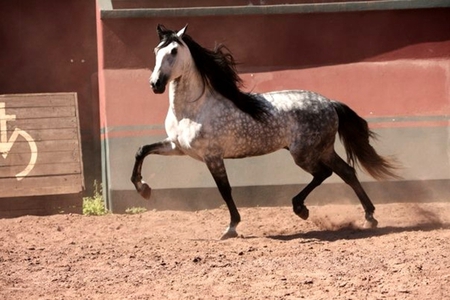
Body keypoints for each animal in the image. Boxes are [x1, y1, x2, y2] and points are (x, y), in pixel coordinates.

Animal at [130, 24, 398, 239]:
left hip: (304, 154)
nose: (155, 84)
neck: (192, 110)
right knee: (347, 172)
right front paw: (143, 189)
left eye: (174, 51)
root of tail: (330, 103)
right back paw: (369, 217)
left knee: (324, 174)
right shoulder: (177, 147)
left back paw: (301, 208)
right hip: (323, 150)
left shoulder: (212, 156)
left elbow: (225, 190)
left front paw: (231, 228)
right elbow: (142, 150)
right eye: (156, 51)